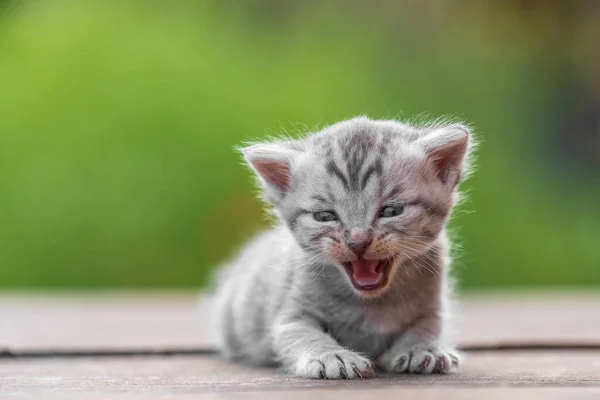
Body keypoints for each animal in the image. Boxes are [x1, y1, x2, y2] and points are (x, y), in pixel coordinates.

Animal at [211, 115, 474, 378]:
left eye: (391, 211)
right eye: (325, 216)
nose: (358, 241)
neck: (372, 304)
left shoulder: (433, 307)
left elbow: (427, 326)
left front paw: (422, 348)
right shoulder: (291, 316)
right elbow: (304, 336)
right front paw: (332, 356)